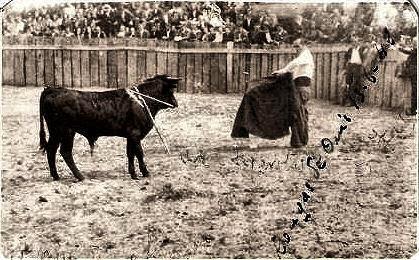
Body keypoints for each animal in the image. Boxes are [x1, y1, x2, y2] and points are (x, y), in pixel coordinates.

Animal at [37, 74, 179, 181]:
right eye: (171, 90)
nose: (176, 103)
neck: (141, 101)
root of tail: (52, 89)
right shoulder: (135, 134)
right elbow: (139, 153)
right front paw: (146, 173)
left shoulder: (130, 136)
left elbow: (130, 154)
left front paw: (133, 174)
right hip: (66, 131)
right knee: (65, 152)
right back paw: (80, 176)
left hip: (55, 132)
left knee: (51, 150)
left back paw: (56, 176)